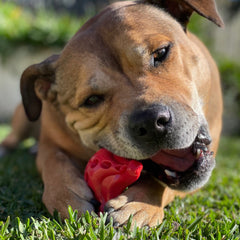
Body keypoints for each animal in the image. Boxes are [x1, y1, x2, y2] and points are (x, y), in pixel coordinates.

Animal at [1, 0, 223, 227]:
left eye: (161, 53)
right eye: (91, 100)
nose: (150, 122)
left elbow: (162, 185)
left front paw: (139, 203)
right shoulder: (50, 144)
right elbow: (54, 162)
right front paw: (66, 195)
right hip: (23, 117)